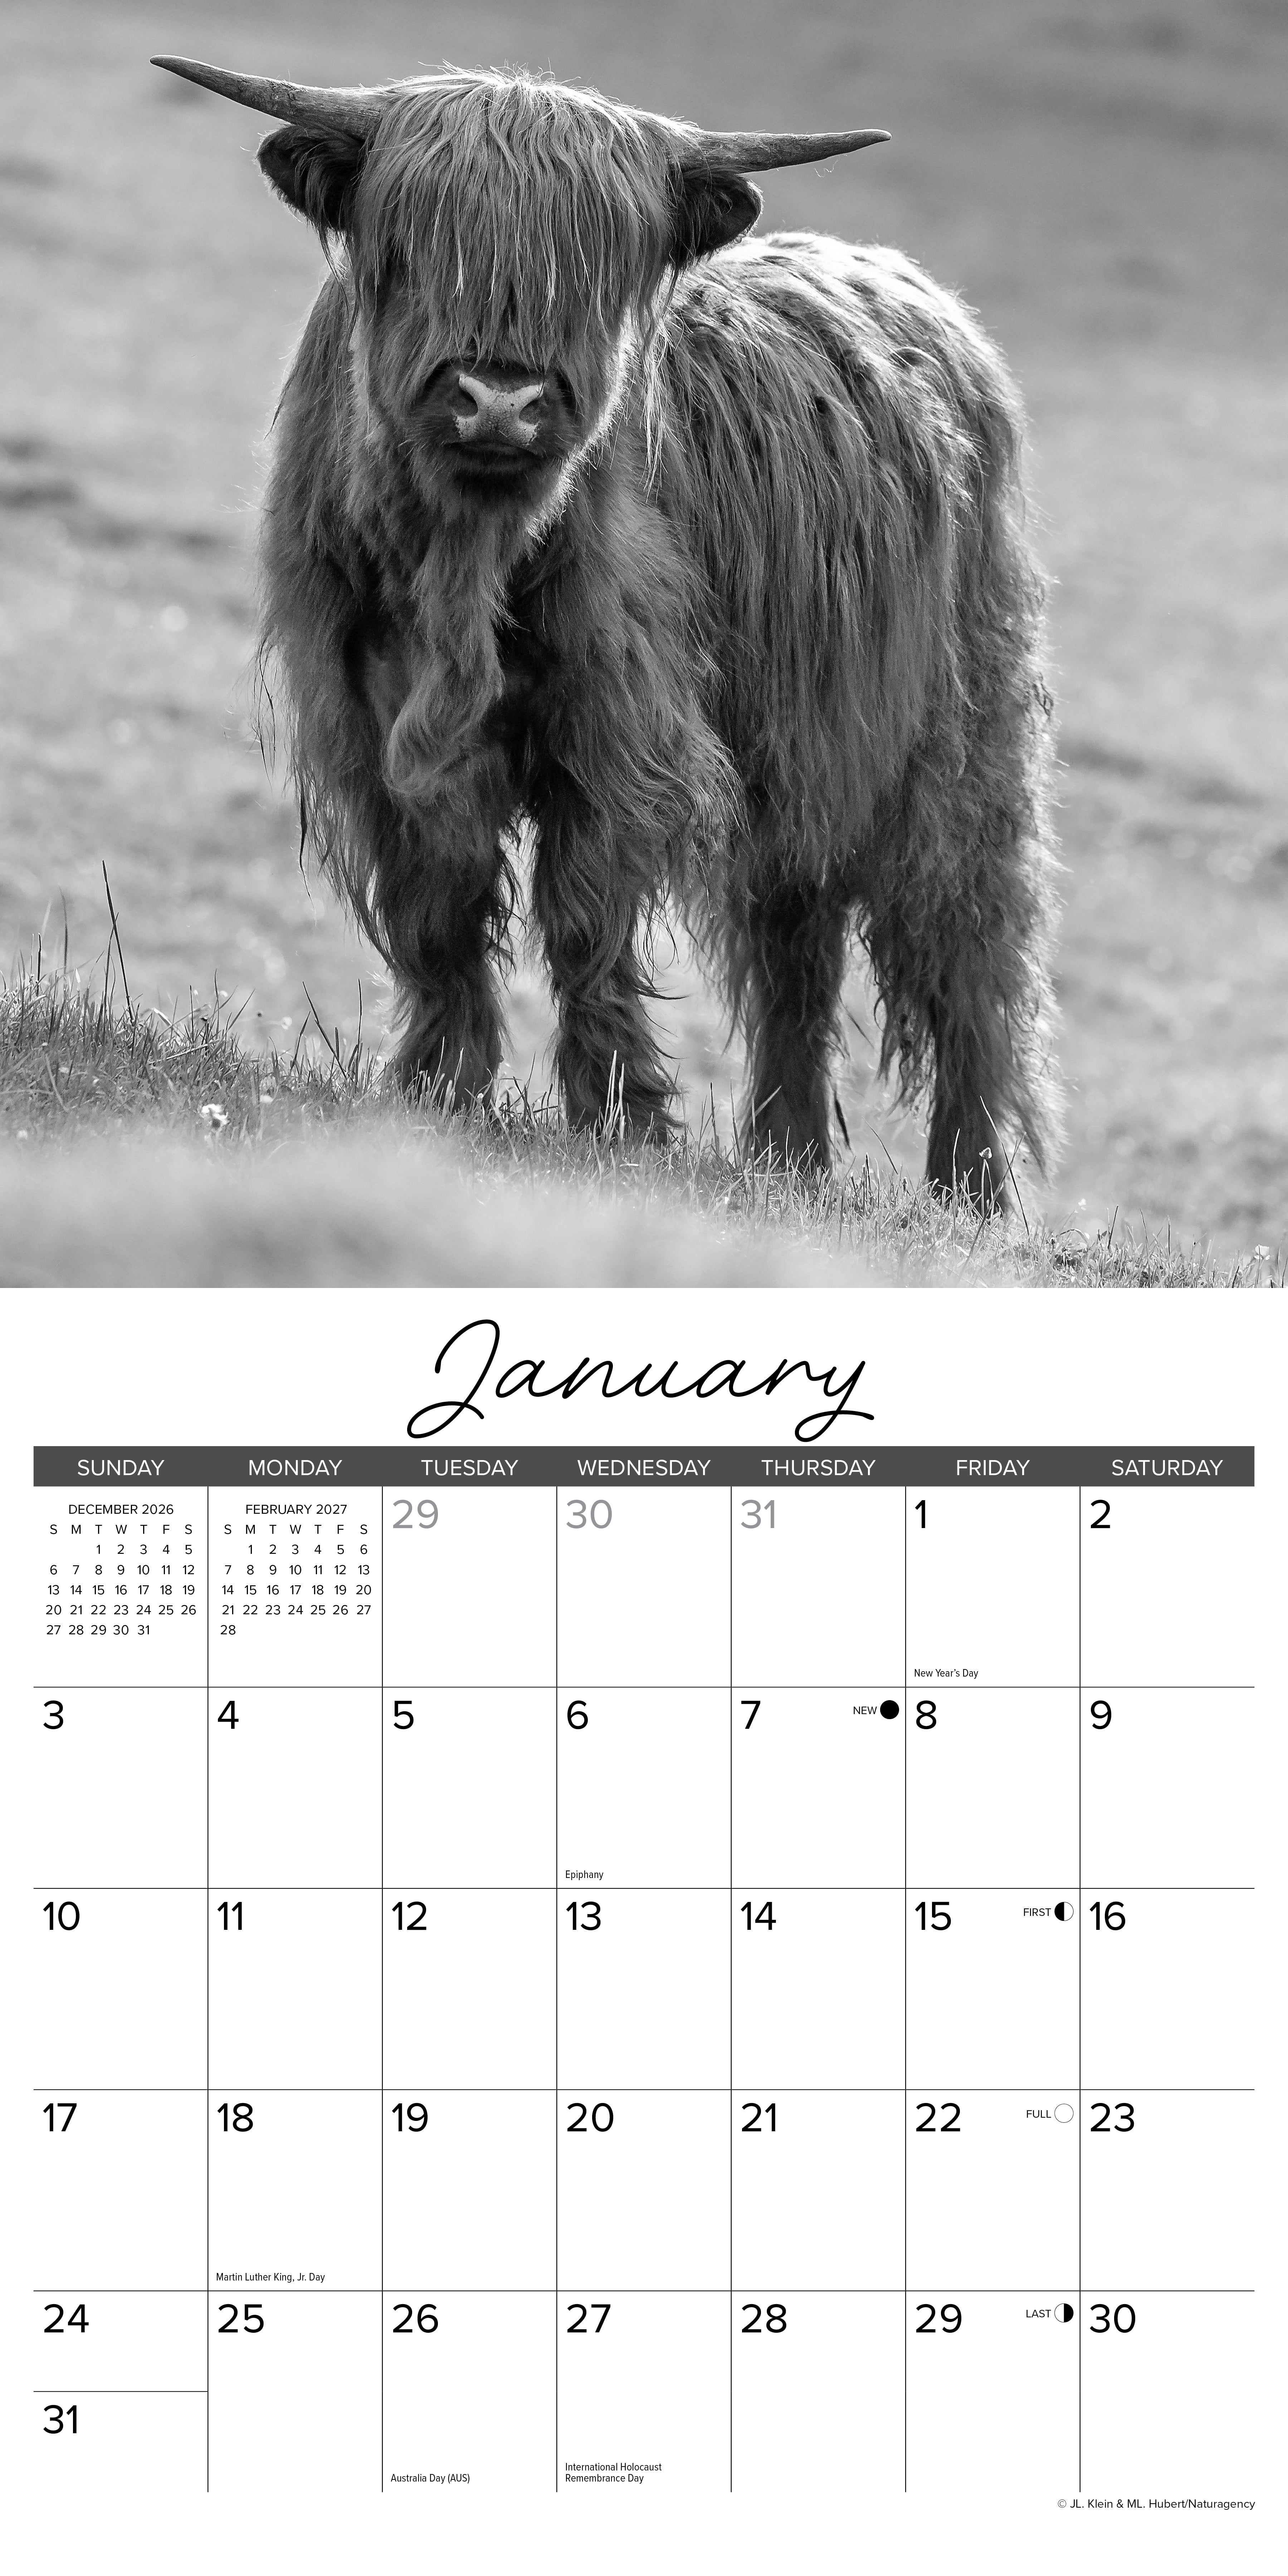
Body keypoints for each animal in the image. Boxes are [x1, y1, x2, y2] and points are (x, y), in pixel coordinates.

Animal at [155, 53, 1061, 1208]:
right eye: (412, 242)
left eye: (595, 265)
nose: (500, 399)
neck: (463, 567)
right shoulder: (365, 714)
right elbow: (436, 902)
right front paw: (437, 1086)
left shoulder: (617, 720)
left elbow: (584, 912)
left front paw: (618, 1118)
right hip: (803, 761)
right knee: (797, 946)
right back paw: (788, 1158)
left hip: (957, 744)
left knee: (967, 948)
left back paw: (970, 1191)